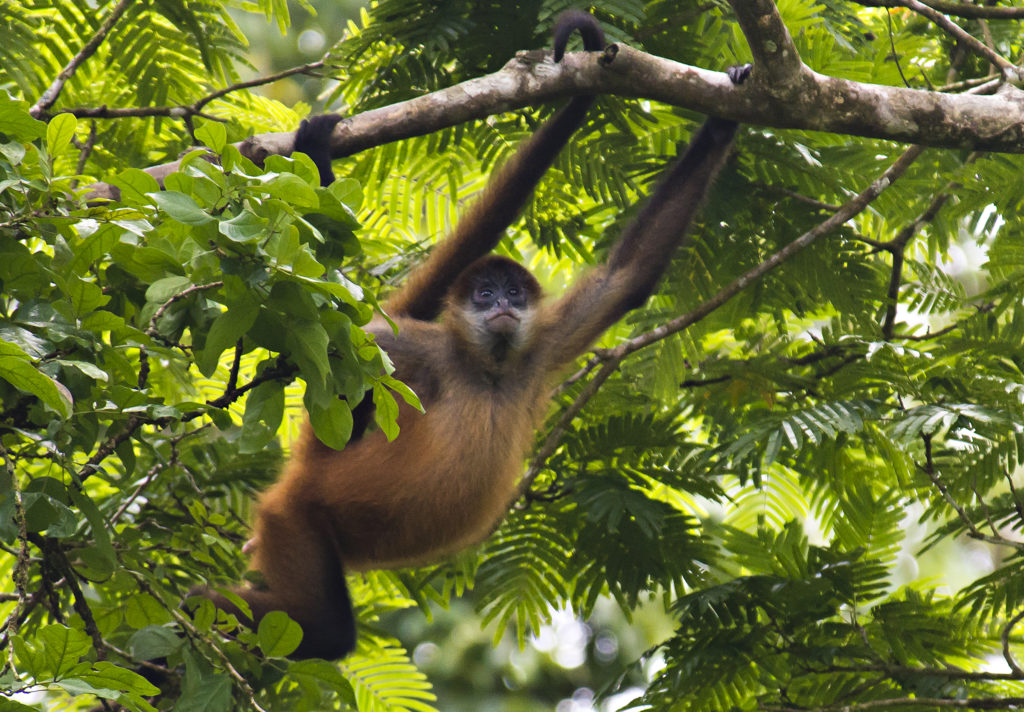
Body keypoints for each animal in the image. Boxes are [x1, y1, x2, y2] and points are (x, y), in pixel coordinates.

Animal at [191, 12, 748, 661]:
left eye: (512, 294)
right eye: (483, 295)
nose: (502, 305)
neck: (489, 371)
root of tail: (307, 476)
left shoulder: (539, 350)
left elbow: (627, 279)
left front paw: (726, 116)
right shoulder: (418, 347)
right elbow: (325, 350)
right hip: (297, 520)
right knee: (325, 627)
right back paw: (187, 607)